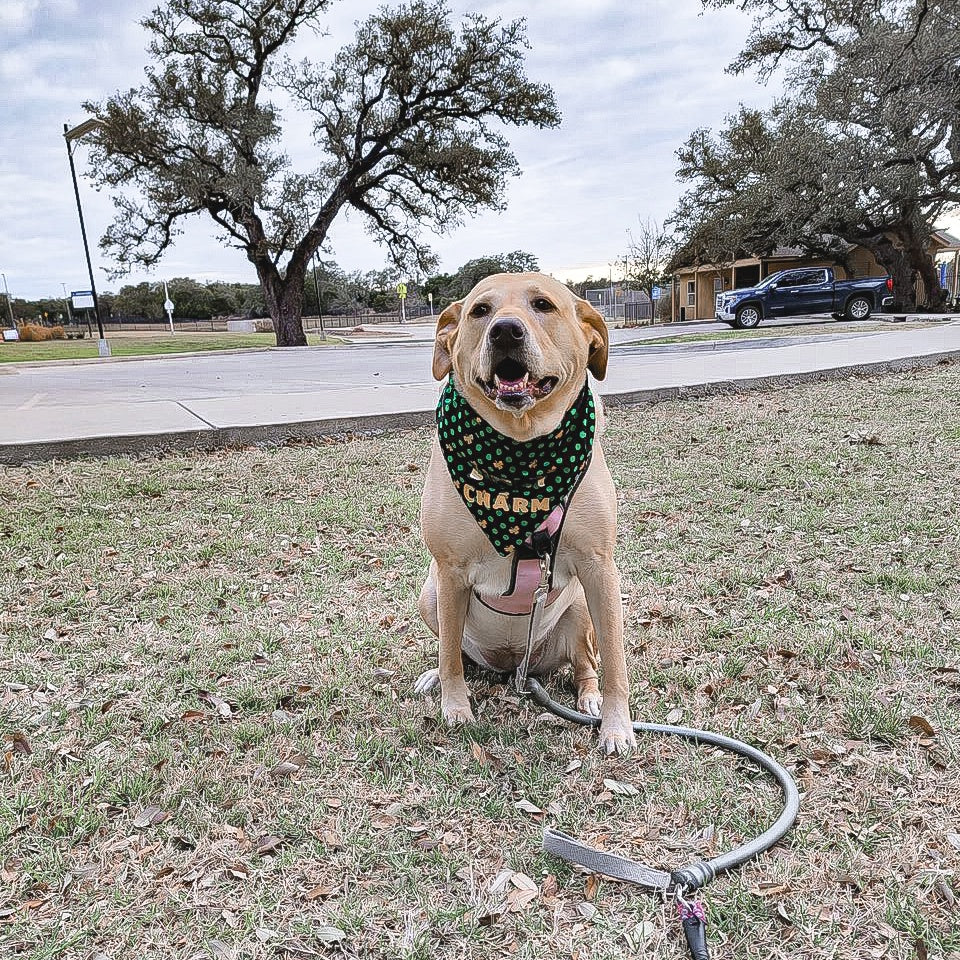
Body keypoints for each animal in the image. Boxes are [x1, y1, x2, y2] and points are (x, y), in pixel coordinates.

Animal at [414, 272, 632, 756]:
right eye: (480, 311)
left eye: (543, 305)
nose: (505, 331)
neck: (522, 450)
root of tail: (517, 666)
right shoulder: (449, 571)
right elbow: (449, 654)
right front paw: (455, 707)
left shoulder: (600, 568)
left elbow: (615, 660)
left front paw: (617, 726)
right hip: (430, 596)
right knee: (454, 651)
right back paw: (436, 676)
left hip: (580, 608)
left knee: (587, 661)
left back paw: (589, 698)